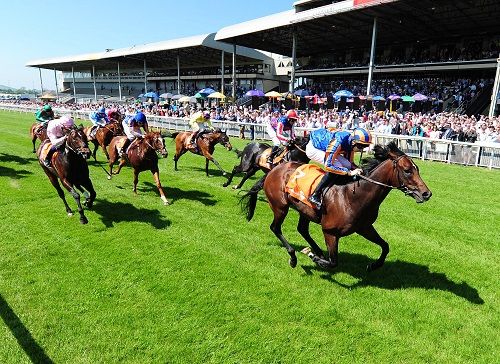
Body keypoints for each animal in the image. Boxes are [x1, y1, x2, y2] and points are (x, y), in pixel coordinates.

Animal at [240, 141, 432, 270]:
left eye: (417, 169)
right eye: (407, 170)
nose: (426, 193)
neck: (353, 196)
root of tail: (274, 169)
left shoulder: (364, 227)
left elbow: (385, 246)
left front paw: (374, 265)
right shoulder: (330, 232)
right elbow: (333, 262)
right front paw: (311, 256)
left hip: (304, 210)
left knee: (302, 229)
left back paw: (316, 250)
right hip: (280, 206)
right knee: (275, 228)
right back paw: (295, 256)